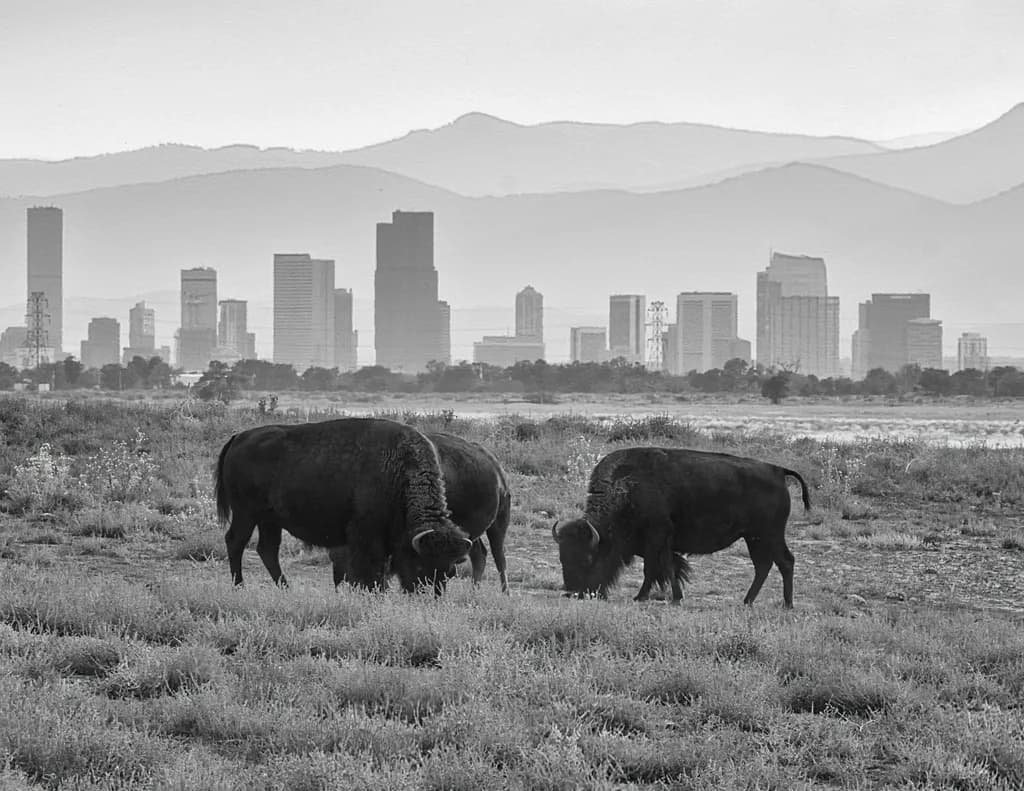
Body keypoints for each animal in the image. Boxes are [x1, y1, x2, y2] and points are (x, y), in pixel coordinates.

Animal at [214, 417, 473, 591]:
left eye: (449, 572)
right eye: (420, 566)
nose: (427, 596)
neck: (397, 469)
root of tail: (238, 437)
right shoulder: (366, 535)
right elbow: (370, 570)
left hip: (269, 519)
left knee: (267, 549)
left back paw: (285, 589)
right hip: (245, 513)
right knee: (235, 541)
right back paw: (239, 586)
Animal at [329, 431, 512, 593]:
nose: (341, 579)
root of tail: (494, 465)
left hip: (499, 522)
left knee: (499, 558)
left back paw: (505, 593)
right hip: (470, 534)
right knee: (479, 554)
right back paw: (473, 592)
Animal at [552, 447, 810, 607]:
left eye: (588, 558)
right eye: (562, 558)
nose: (573, 592)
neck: (626, 488)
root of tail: (778, 470)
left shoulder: (658, 538)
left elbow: (658, 568)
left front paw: (656, 597)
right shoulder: (654, 544)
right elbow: (663, 568)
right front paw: (657, 596)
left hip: (770, 534)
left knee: (785, 561)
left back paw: (787, 604)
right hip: (753, 537)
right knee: (763, 565)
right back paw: (748, 601)